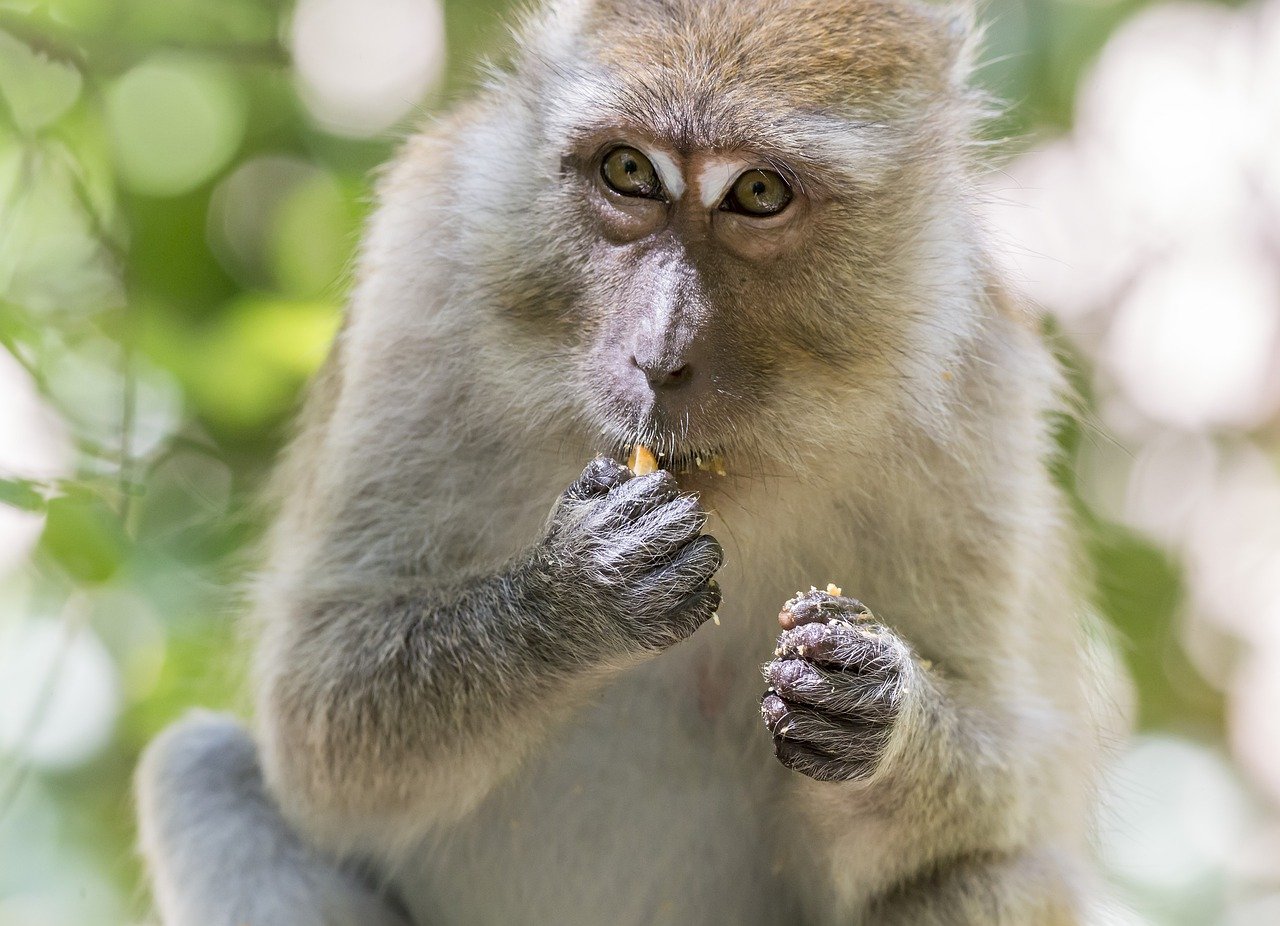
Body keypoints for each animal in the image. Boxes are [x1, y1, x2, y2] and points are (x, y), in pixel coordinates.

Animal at [135, 0, 1126, 922]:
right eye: (629, 171)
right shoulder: (427, 265)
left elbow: (1011, 780)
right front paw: (582, 592)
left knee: (994, 877)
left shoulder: (979, 378)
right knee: (199, 772)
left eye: (757, 192)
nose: (658, 353)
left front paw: (874, 706)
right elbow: (318, 724)